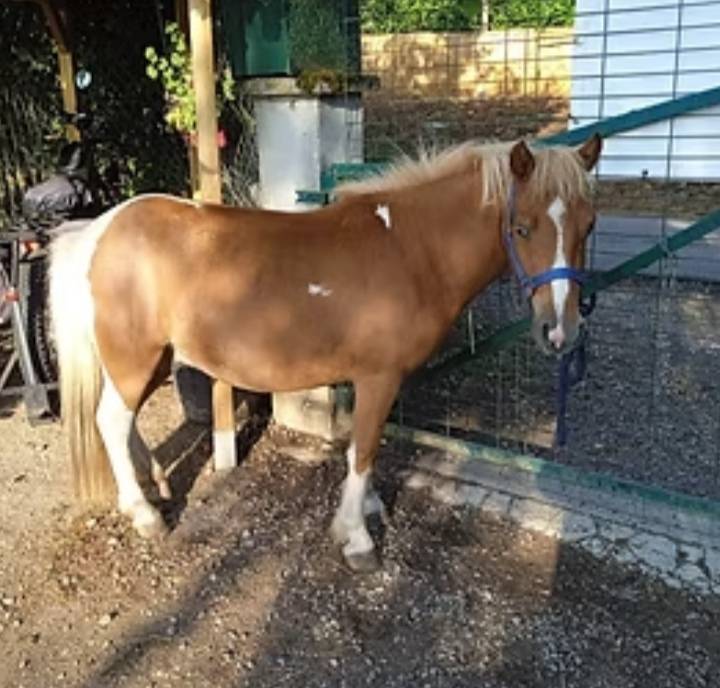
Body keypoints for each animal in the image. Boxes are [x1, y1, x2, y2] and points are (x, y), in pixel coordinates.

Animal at [49, 135, 602, 572]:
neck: (410, 249)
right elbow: (364, 448)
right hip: (134, 357)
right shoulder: (379, 377)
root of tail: (98, 231)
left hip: (156, 357)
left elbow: (366, 445)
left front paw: (371, 506)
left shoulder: (376, 379)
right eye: (523, 226)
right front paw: (357, 537)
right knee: (111, 421)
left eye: (590, 226)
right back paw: (144, 514)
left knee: (123, 422)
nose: (561, 331)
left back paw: (157, 484)